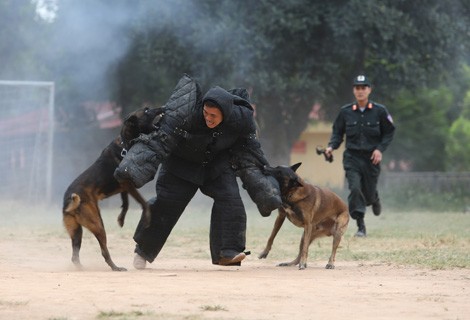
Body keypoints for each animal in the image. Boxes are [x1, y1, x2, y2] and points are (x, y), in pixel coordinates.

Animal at [63, 105, 163, 270]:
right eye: (146, 111)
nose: (163, 108)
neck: (125, 144)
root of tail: (68, 202)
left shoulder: (124, 187)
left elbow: (126, 203)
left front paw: (121, 219)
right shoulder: (128, 184)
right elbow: (143, 203)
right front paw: (148, 218)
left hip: (76, 231)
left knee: (74, 256)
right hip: (98, 224)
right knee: (104, 251)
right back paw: (116, 268)